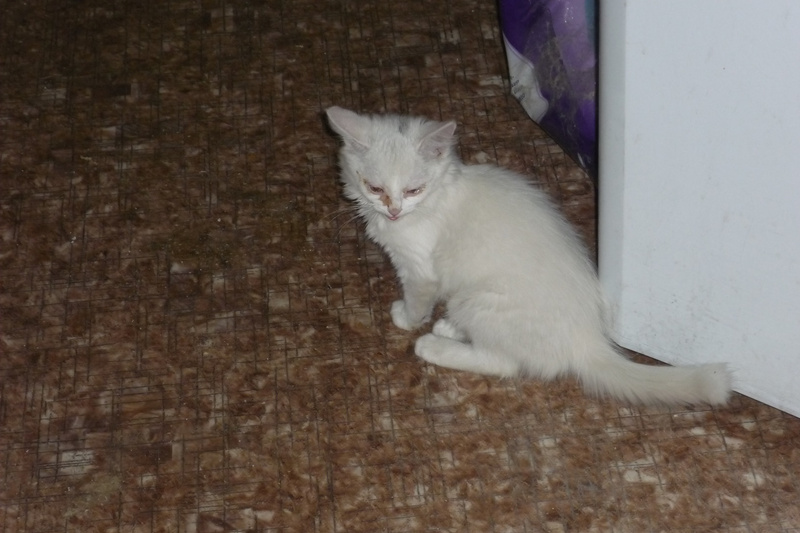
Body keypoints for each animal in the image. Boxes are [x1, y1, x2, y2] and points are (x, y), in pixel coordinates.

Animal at [325, 106, 732, 406]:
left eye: (413, 190)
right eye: (374, 187)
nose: (393, 210)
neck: (438, 195)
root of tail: (586, 337)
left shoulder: (419, 268)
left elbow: (416, 300)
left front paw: (407, 319)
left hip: (482, 301)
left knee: (504, 363)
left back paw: (434, 345)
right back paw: (450, 328)